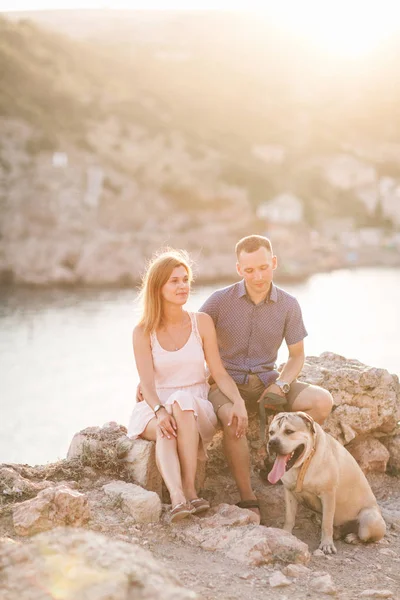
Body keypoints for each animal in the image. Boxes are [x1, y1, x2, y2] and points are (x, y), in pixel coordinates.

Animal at [268, 412, 386, 552]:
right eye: (271, 432)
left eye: (289, 431)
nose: (272, 442)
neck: (304, 463)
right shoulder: (289, 493)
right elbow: (289, 517)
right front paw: (285, 534)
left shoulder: (328, 494)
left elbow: (327, 523)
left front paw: (327, 544)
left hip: (370, 519)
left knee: (365, 537)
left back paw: (352, 537)